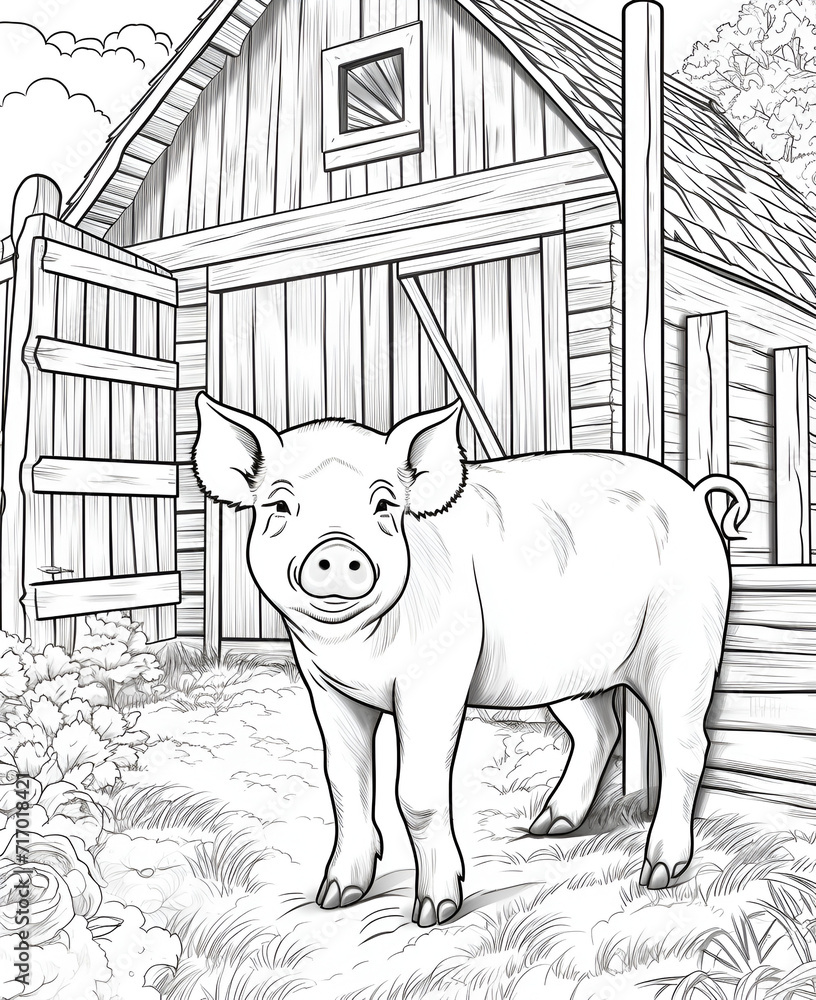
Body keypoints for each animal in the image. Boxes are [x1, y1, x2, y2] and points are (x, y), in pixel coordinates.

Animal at [193, 394, 749, 927]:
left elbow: (416, 794)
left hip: (687, 641)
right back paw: (546, 826)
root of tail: (695, 495)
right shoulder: (325, 685)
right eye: (280, 505)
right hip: (570, 671)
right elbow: (345, 782)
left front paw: (433, 914)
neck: (357, 646)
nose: (337, 552)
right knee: (600, 728)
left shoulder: (439, 671)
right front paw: (335, 899)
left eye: (384, 504)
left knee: (687, 744)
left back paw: (658, 873)